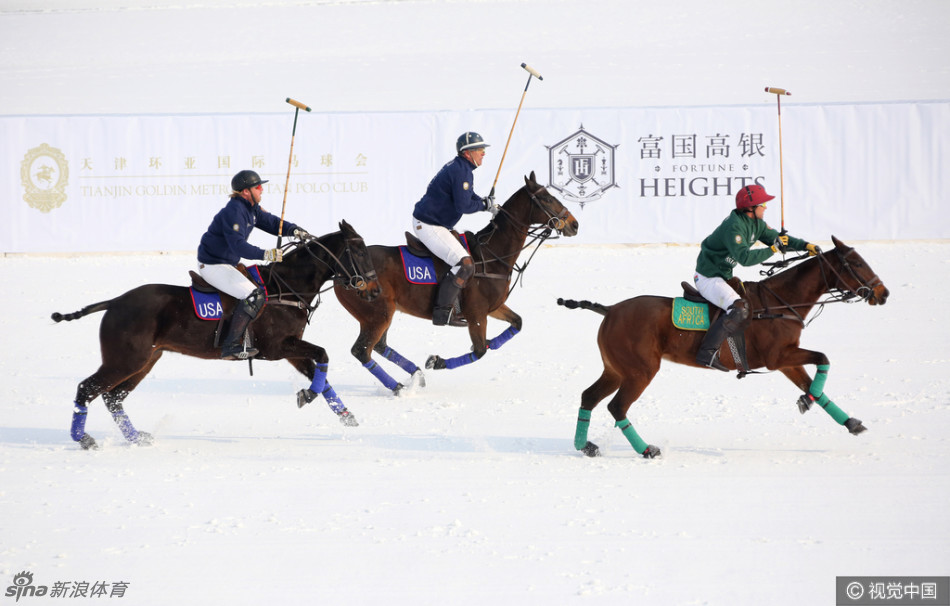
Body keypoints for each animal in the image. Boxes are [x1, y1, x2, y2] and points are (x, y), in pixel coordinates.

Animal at [52, 221, 380, 448]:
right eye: (359, 251)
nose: (375, 291)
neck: (286, 287)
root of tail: (116, 302)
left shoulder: (290, 350)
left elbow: (320, 374)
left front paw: (344, 414)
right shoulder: (278, 348)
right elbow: (322, 355)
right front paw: (309, 396)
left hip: (145, 359)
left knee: (113, 397)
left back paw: (137, 438)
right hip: (125, 359)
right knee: (87, 388)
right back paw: (84, 439)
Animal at [330, 173, 584, 396]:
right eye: (547, 198)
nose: (574, 225)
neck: (492, 256)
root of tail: (340, 273)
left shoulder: (493, 308)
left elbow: (517, 323)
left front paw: (490, 343)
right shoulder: (477, 314)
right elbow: (480, 351)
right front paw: (438, 361)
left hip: (381, 313)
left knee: (379, 346)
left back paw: (416, 374)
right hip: (378, 312)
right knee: (362, 350)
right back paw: (399, 388)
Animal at [556, 238, 892, 460]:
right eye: (856, 263)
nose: (883, 293)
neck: (781, 302)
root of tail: (610, 309)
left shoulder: (786, 360)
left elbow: (814, 384)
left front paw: (846, 420)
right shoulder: (777, 357)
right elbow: (824, 359)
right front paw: (808, 402)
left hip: (615, 369)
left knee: (589, 397)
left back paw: (585, 446)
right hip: (641, 370)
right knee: (617, 407)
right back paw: (647, 449)